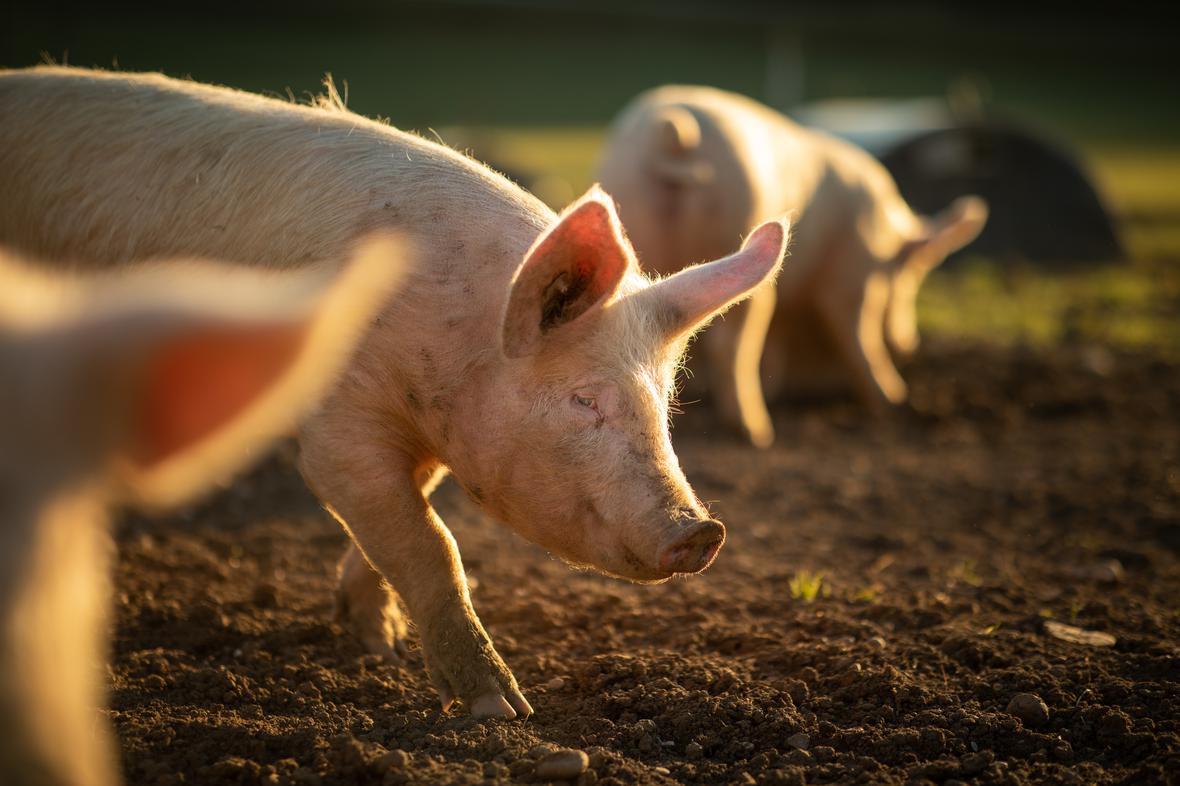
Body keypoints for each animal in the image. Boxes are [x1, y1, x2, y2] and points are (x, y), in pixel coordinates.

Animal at [2, 67, 792, 717]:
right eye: (584, 400)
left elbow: (401, 526)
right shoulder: (336, 429)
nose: (702, 531)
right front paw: (501, 710)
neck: (451, 355)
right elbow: (431, 543)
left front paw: (371, 641)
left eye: (665, 407)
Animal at [594, 84, 991, 443]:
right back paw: (756, 432)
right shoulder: (853, 269)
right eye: (913, 273)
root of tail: (670, 136)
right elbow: (856, 329)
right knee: (732, 344)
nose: (910, 344)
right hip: (742, 233)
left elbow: (778, 340)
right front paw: (892, 400)